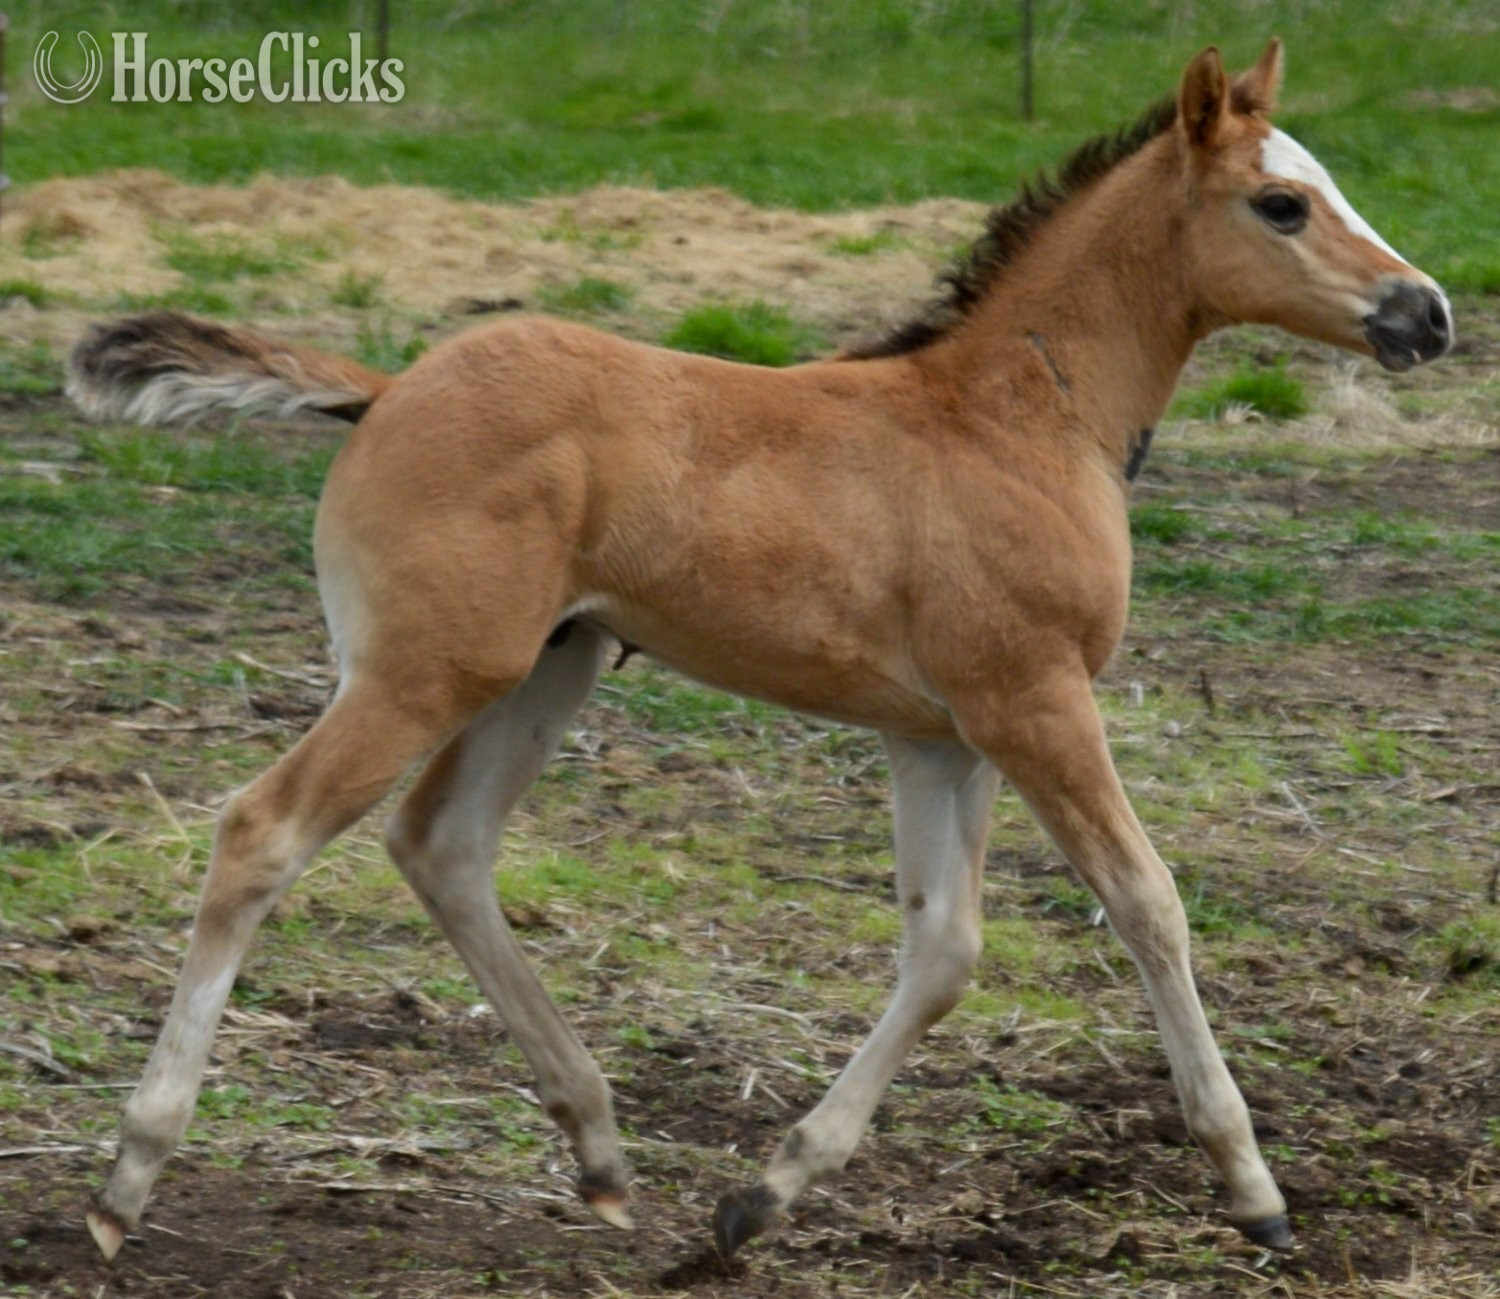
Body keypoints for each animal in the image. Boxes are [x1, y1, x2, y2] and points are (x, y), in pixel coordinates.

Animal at [67, 39, 1451, 1264]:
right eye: (1281, 202)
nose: (1426, 312)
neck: (1022, 415)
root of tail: (390, 386)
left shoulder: (940, 735)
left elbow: (944, 950)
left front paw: (766, 1196)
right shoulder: (1035, 702)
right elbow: (1149, 903)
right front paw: (1256, 1192)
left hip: (550, 666)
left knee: (442, 844)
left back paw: (601, 1149)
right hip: (427, 671)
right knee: (265, 830)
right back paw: (128, 1178)